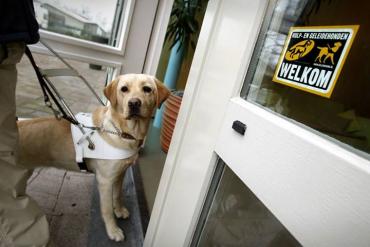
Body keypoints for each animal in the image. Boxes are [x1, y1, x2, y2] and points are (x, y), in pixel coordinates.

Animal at [17, 73, 171, 241]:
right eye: (124, 89)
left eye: (147, 89)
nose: (134, 103)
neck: (122, 132)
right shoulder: (105, 181)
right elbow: (107, 209)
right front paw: (113, 230)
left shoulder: (120, 174)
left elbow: (118, 195)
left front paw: (119, 210)